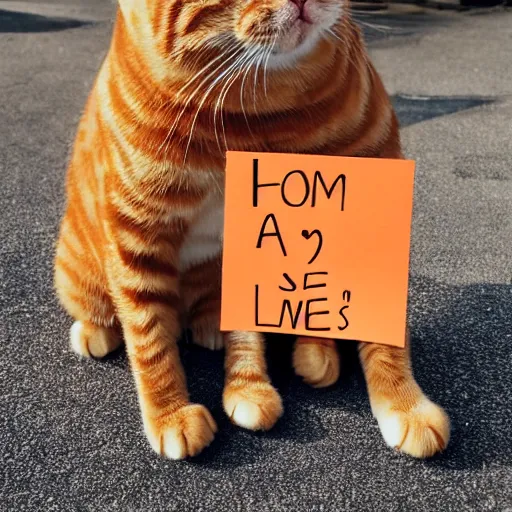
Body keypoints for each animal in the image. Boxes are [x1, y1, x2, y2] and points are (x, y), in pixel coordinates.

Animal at [54, 0, 450, 460]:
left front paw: (405, 405)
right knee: (109, 312)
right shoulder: (135, 230)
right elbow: (149, 338)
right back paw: (95, 332)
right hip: (79, 272)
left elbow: (383, 333)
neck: (261, 112)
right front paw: (170, 413)